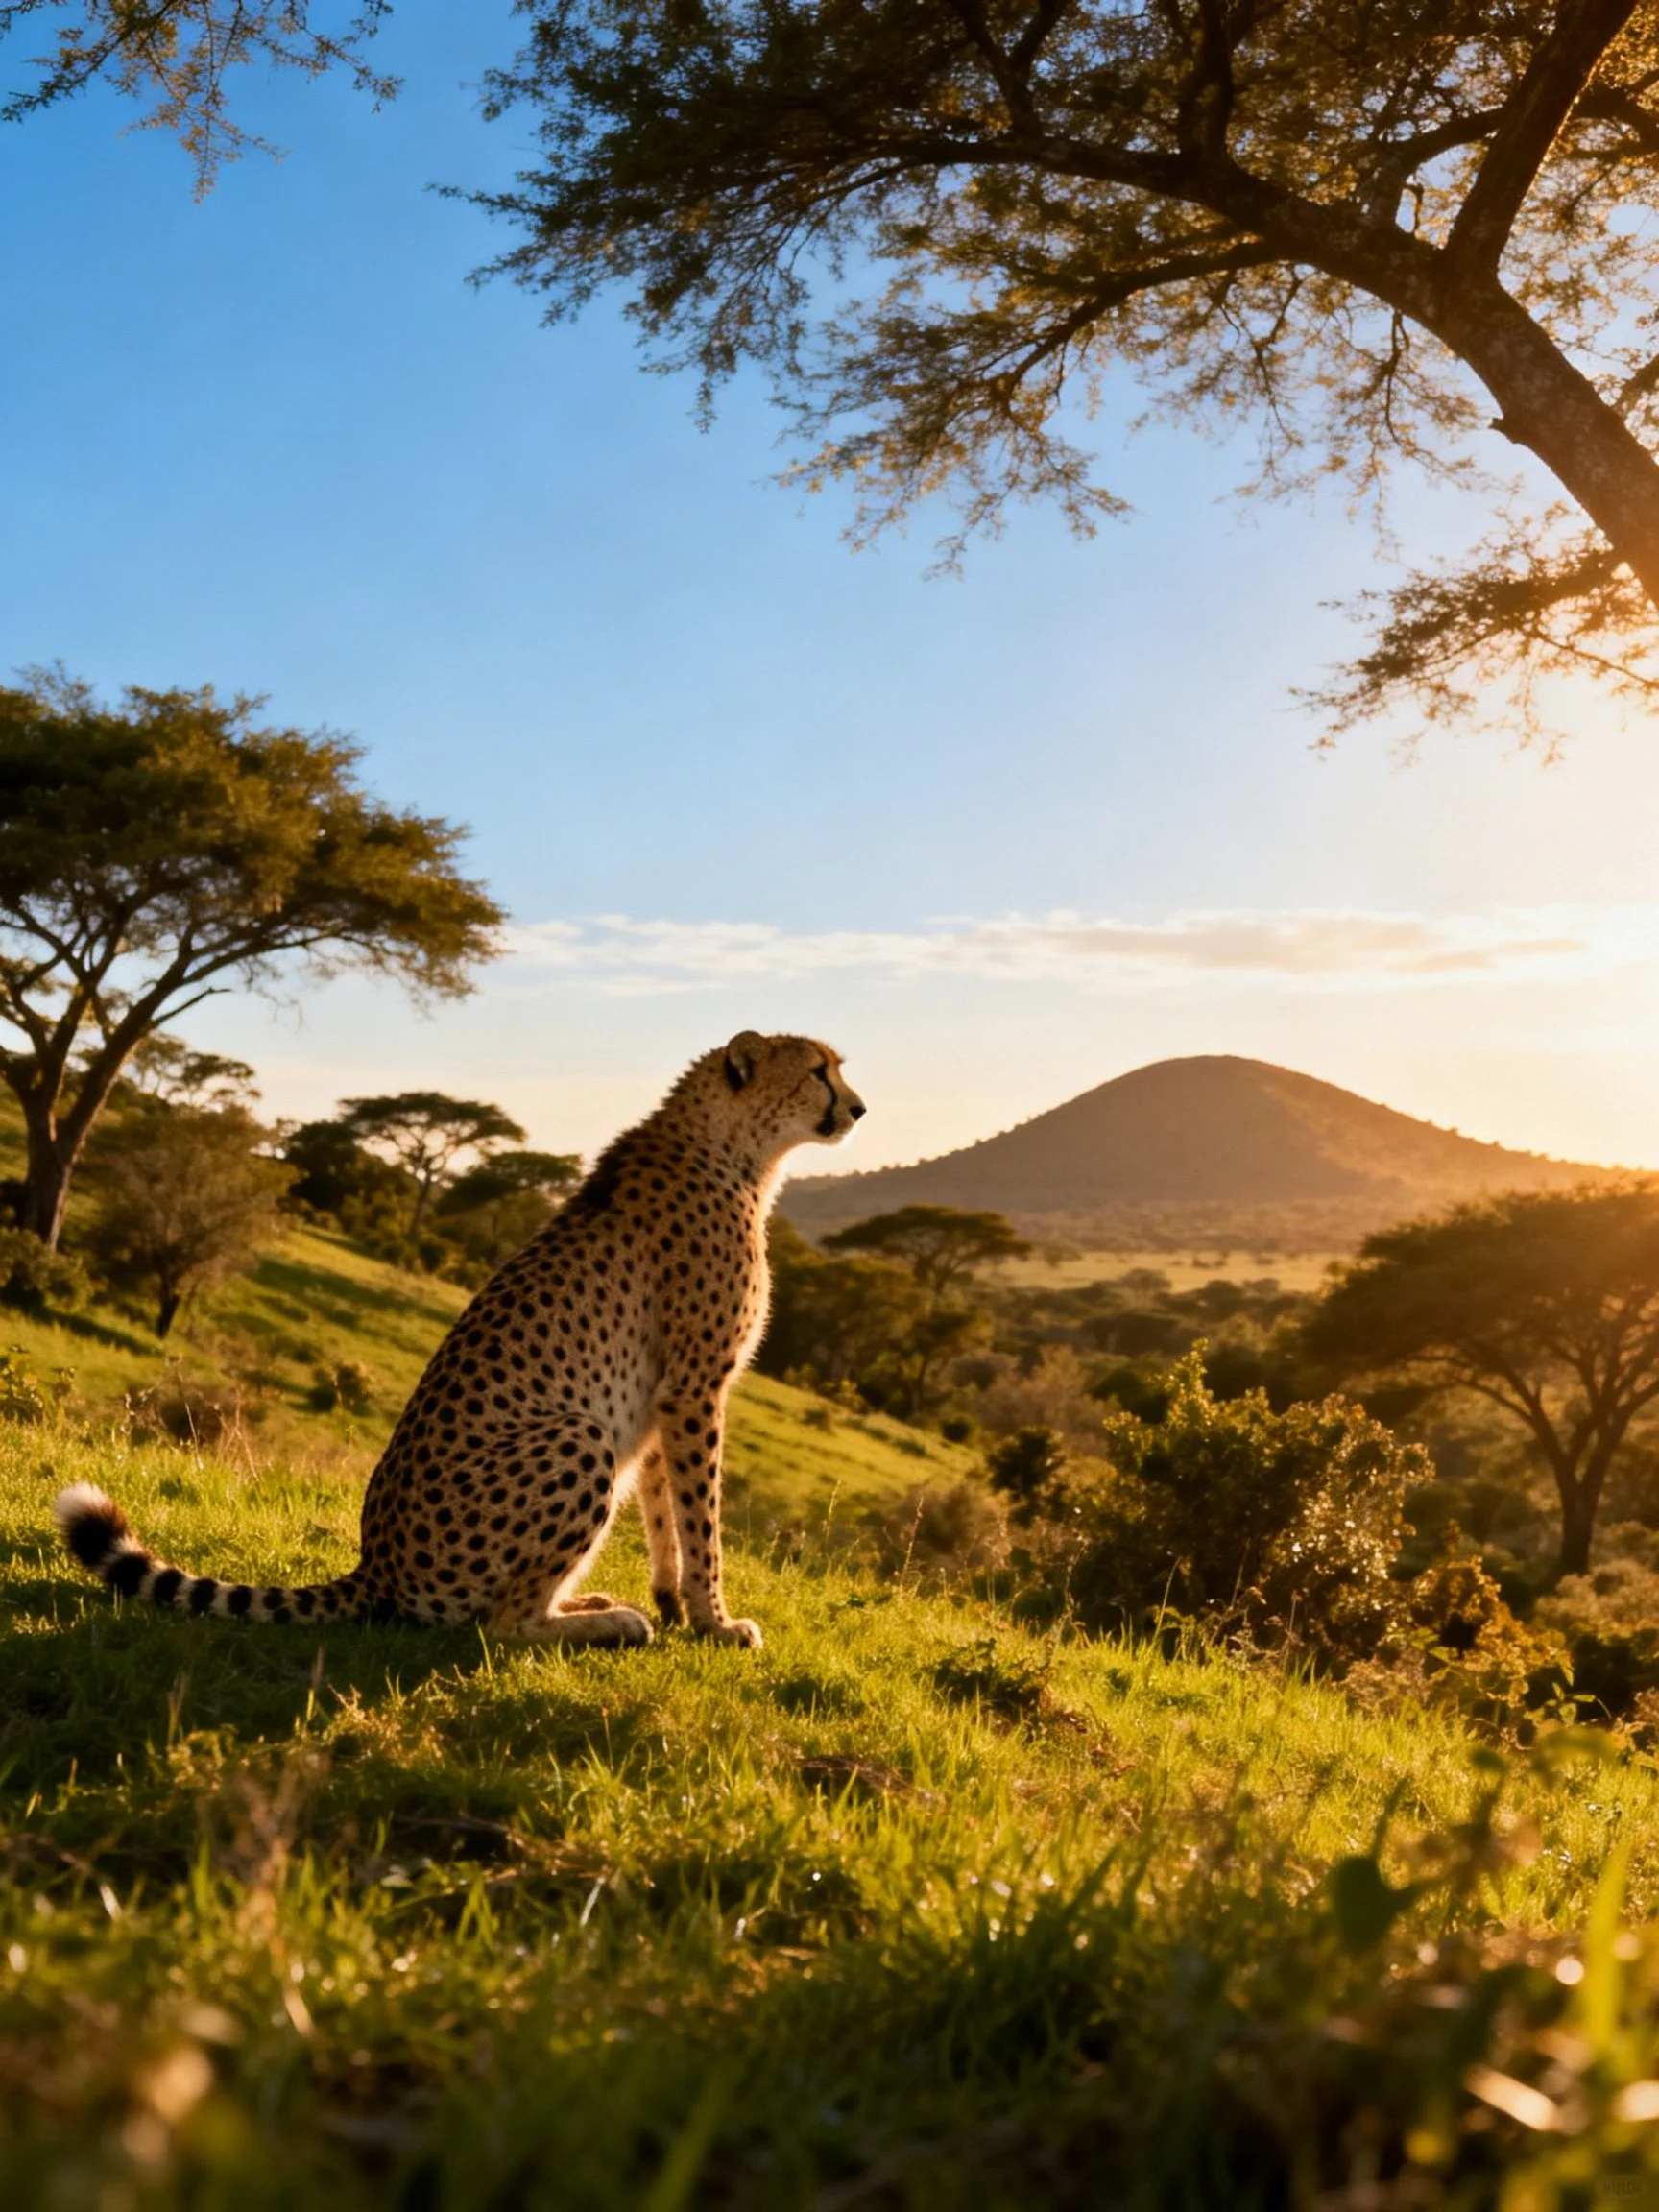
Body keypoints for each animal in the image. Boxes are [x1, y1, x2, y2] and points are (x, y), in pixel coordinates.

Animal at [53, 1031, 865, 1651]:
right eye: (818, 1069)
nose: (858, 1106)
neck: (731, 1145)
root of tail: (376, 1563)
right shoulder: (698, 1385)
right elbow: (702, 1519)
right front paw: (715, 1622)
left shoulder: (670, 1393)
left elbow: (668, 1510)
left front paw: (678, 1605)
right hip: (577, 1436)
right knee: (500, 1623)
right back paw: (605, 1623)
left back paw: (593, 1605)